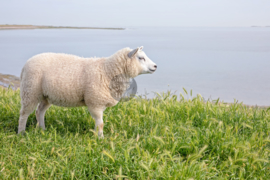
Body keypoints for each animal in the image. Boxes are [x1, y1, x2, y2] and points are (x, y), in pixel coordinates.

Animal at [17, 46, 157, 138]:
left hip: (46, 95)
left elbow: (98, 123)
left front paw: (95, 135)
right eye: (141, 58)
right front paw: (100, 138)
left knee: (39, 111)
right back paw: (21, 133)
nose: (155, 66)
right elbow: (101, 123)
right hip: (30, 90)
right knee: (24, 113)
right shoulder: (95, 102)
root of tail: (25, 65)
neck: (107, 70)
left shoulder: (98, 103)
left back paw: (42, 129)